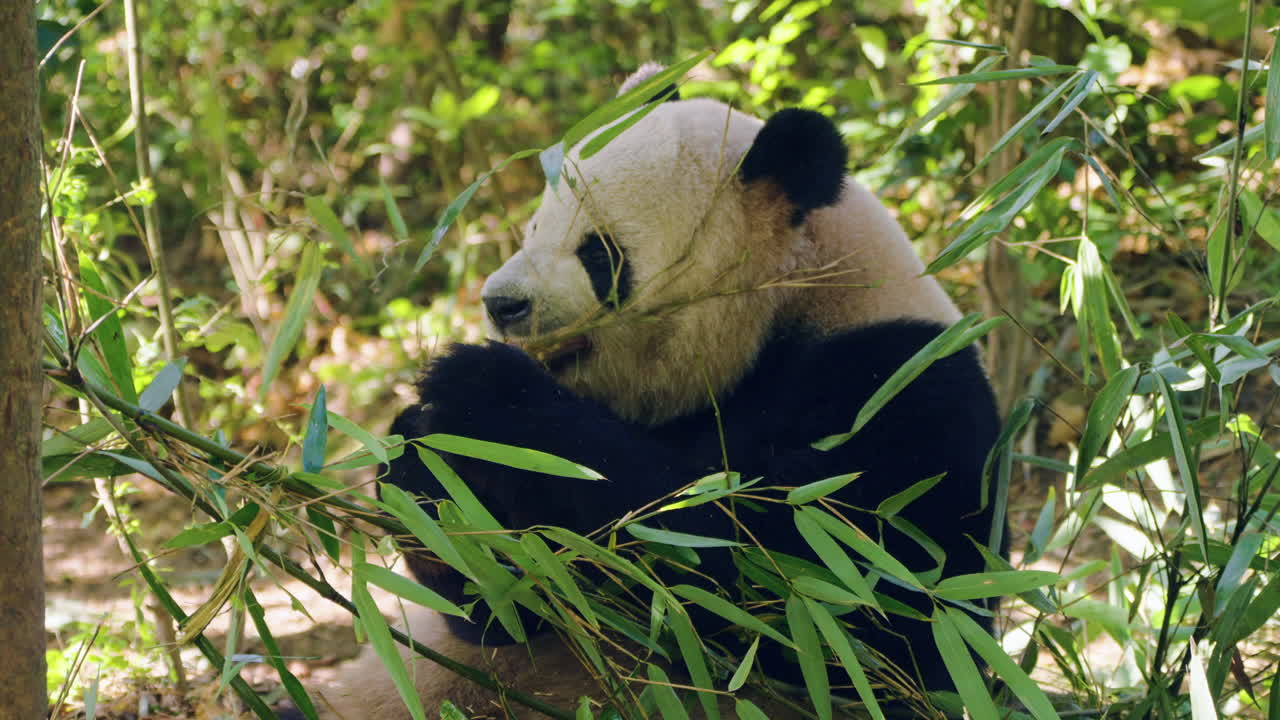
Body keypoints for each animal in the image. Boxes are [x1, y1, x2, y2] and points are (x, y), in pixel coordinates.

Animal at [300, 65, 1002, 719]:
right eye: (534, 229)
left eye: (600, 254)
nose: (501, 303)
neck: (791, 303)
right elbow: (504, 610)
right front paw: (420, 454)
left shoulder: (897, 393)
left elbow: (824, 606)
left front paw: (477, 392)